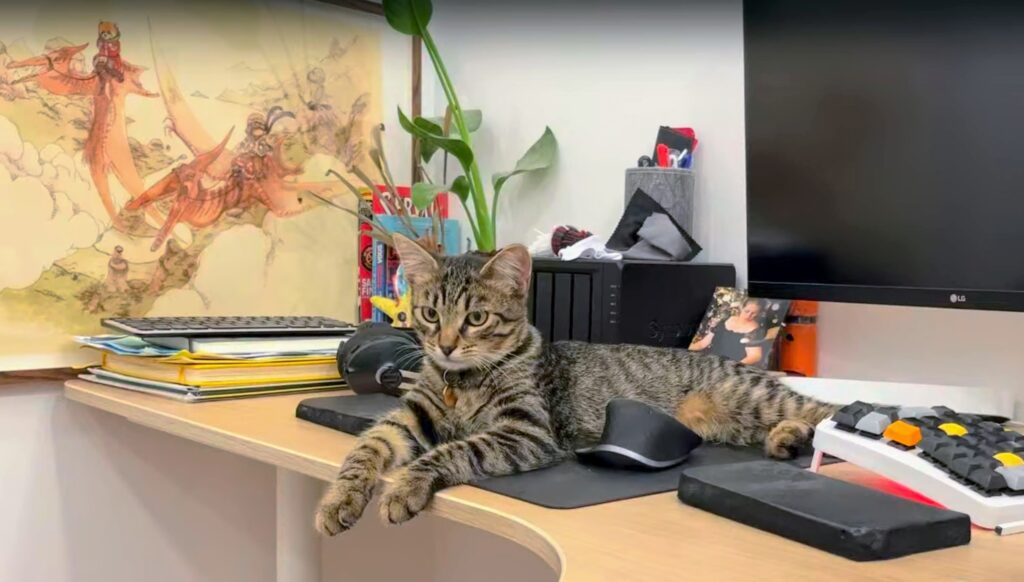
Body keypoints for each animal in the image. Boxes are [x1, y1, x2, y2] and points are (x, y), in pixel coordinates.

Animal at [313, 234, 839, 532]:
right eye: (428, 314)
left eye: (476, 319)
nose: (442, 346)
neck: (460, 384)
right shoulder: (410, 416)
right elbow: (366, 447)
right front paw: (340, 498)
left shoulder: (527, 432)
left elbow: (453, 449)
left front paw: (405, 486)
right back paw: (788, 440)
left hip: (751, 399)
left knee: (828, 414)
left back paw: (805, 432)